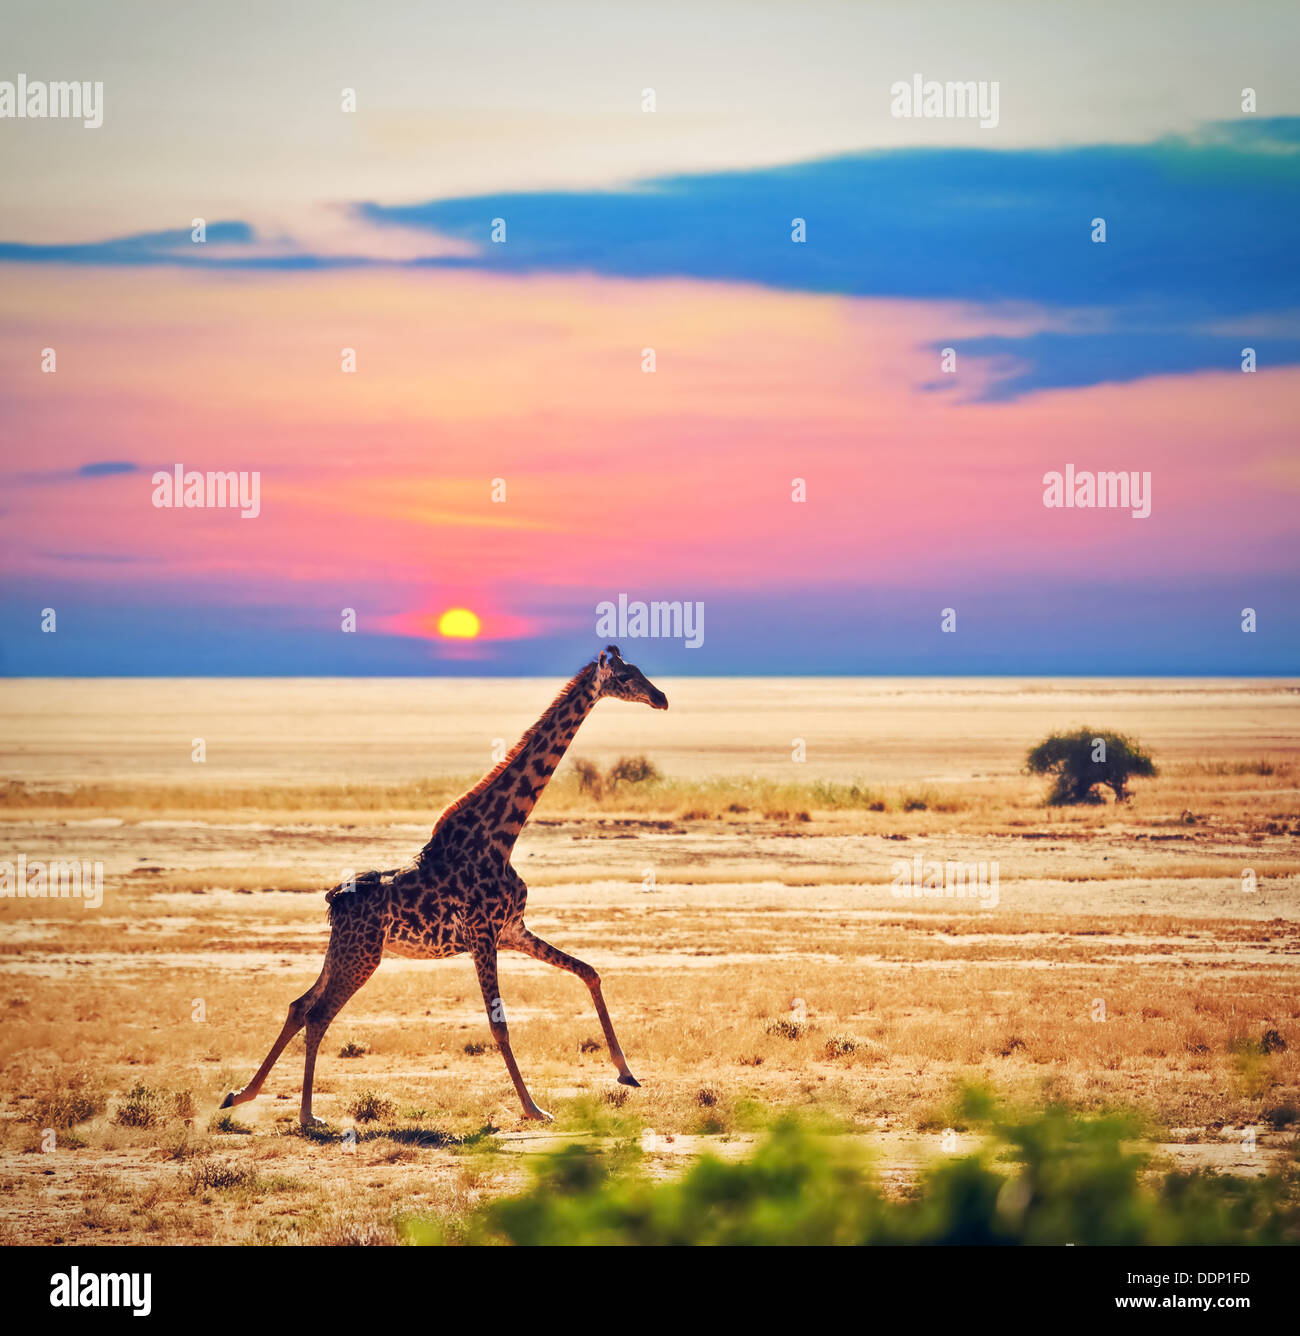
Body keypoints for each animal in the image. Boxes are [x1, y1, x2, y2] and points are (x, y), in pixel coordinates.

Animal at [220, 641, 670, 1122]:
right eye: (625, 677)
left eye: (638, 668)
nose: (660, 698)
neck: (501, 837)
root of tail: (334, 899)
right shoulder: (484, 935)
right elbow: (499, 1025)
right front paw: (533, 1108)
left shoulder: (513, 931)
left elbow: (589, 972)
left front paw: (627, 1073)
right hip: (363, 956)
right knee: (318, 1014)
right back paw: (306, 1115)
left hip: (344, 951)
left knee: (299, 1005)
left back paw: (241, 1094)